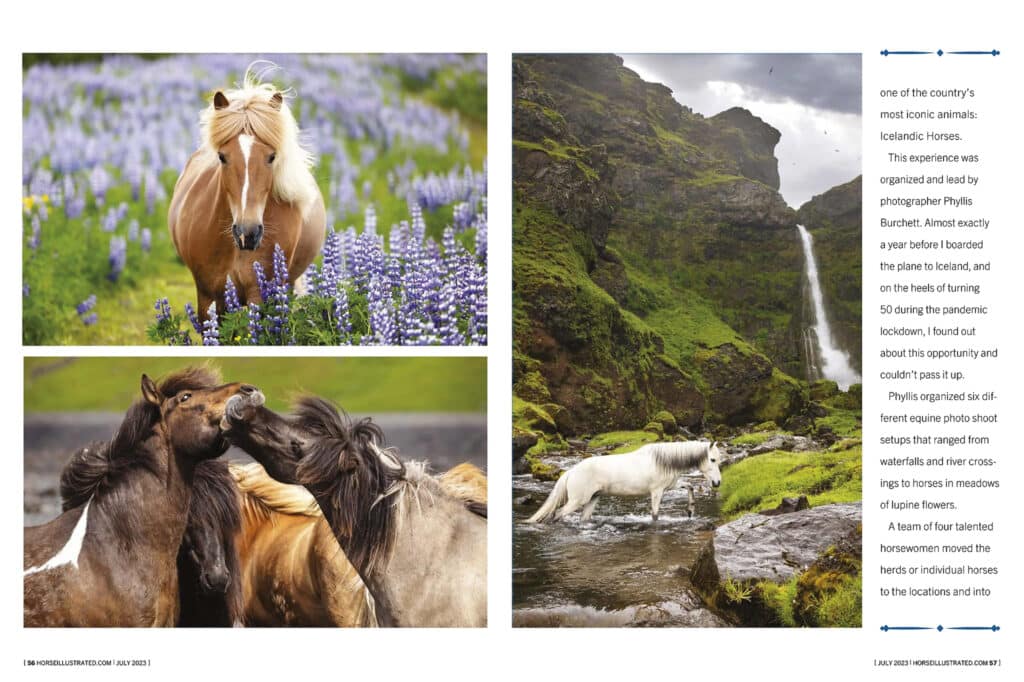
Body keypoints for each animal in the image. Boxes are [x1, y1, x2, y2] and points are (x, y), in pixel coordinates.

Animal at [524, 438, 724, 522]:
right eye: (712, 460)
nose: (717, 483)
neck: (662, 460)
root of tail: (571, 471)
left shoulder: (670, 486)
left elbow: (689, 486)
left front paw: (690, 510)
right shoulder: (657, 491)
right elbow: (655, 514)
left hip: (592, 499)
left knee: (583, 518)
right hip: (577, 501)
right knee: (558, 514)